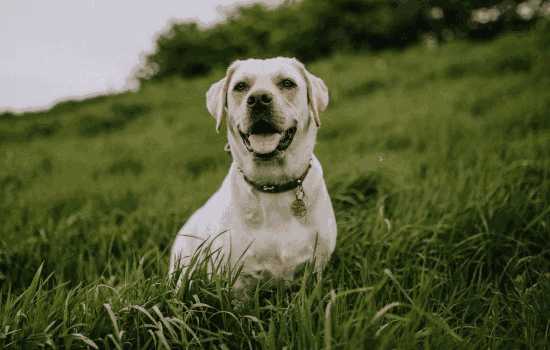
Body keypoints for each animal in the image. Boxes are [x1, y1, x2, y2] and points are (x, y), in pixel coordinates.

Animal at [170, 57, 338, 286]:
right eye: (240, 86)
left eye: (287, 83)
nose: (258, 99)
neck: (272, 185)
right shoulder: (233, 279)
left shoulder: (317, 267)